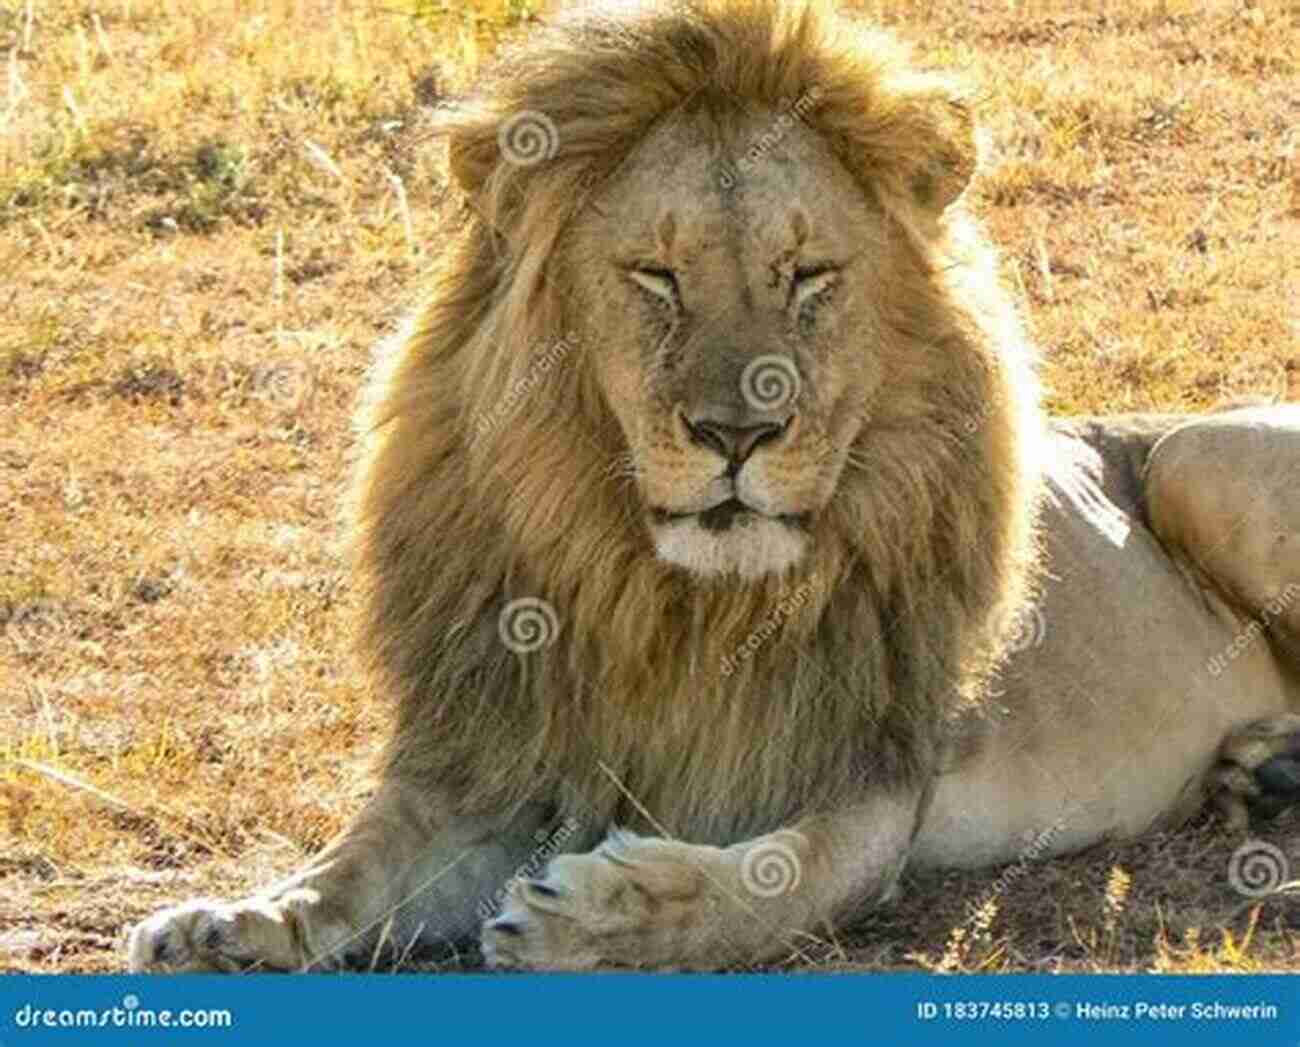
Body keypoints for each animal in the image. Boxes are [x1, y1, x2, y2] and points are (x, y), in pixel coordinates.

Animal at [124, 0, 1300, 972]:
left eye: (809, 276)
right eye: (657, 276)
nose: (739, 430)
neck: (672, 598)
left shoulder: (869, 783)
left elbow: (760, 892)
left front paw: (598, 918)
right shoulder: (495, 750)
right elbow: (356, 866)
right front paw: (228, 927)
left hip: (1197, 461)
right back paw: (1261, 770)